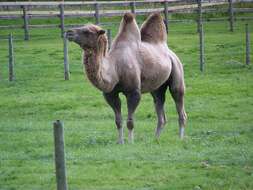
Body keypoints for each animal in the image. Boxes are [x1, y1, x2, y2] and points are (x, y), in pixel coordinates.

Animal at [66, 13, 187, 144]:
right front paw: (120, 142)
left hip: (177, 71)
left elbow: (130, 122)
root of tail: (170, 52)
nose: (68, 32)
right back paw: (156, 139)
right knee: (160, 107)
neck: (115, 69)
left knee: (179, 102)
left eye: (87, 31)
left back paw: (180, 138)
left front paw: (130, 142)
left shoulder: (133, 92)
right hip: (157, 87)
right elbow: (118, 121)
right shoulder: (110, 94)